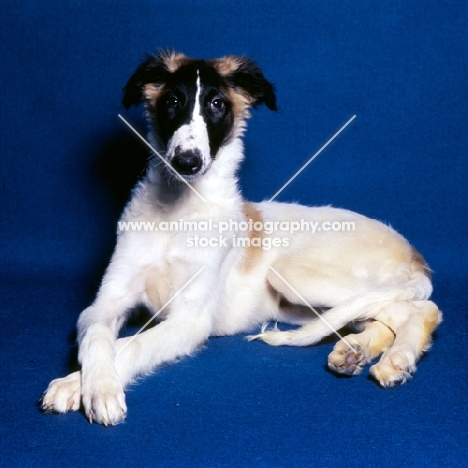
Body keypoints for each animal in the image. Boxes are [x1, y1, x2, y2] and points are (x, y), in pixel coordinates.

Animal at [41, 50, 442, 424]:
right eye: (172, 101)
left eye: (217, 104)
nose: (187, 162)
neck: (179, 213)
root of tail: (413, 254)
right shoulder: (106, 302)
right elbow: (98, 337)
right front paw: (88, 382)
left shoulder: (191, 319)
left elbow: (131, 344)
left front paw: (91, 387)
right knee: (385, 317)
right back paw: (355, 351)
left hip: (294, 275)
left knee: (425, 310)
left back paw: (397, 360)